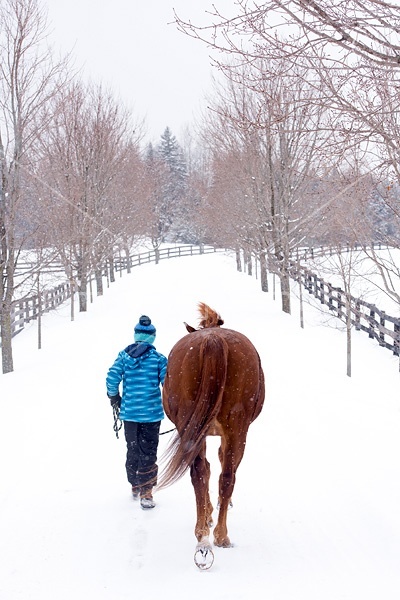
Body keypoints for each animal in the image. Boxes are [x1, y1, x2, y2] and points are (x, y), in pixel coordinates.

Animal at [157, 304, 266, 568]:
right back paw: (220, 535)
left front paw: (206, 515)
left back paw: (203, 536)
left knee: (200, 472)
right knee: (226, 476)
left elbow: (205, 468)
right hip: (237, 428)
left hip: (192, 427)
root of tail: (213, 340)